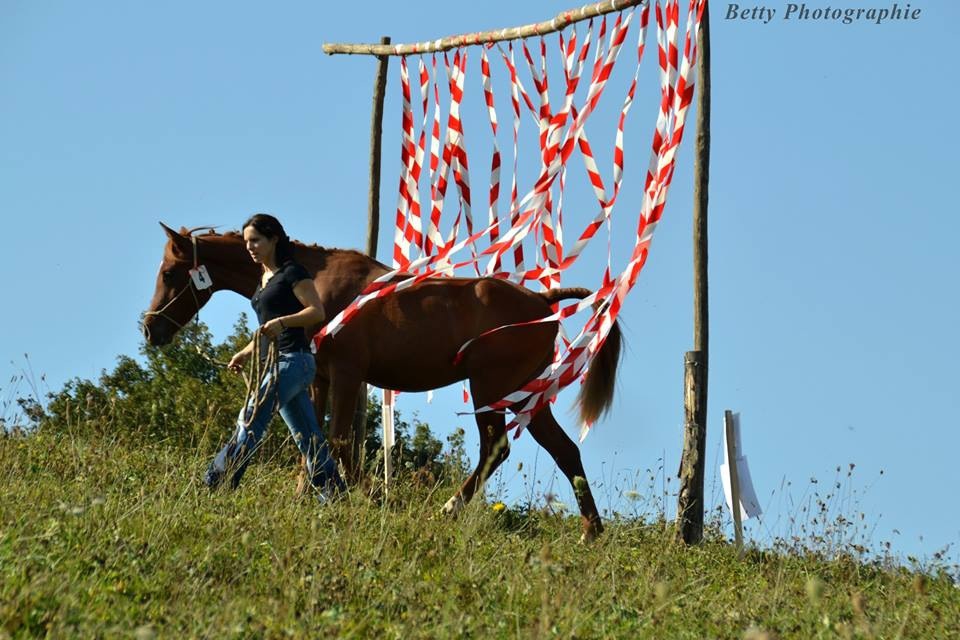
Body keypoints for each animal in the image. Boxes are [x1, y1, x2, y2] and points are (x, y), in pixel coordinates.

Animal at [143, 223, 622, 540]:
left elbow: (338, 444)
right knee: (563, 450)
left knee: (496, 448)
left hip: (492, 389)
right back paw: (591, 531)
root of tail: (543, 301)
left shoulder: (349, 375)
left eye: (168, 273)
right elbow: (310, 442)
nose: (150, 329)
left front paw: (372, 496)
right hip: (524, 396)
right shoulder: (318, 380)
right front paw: (305, 495)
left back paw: (449, 508)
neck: (318, 282)